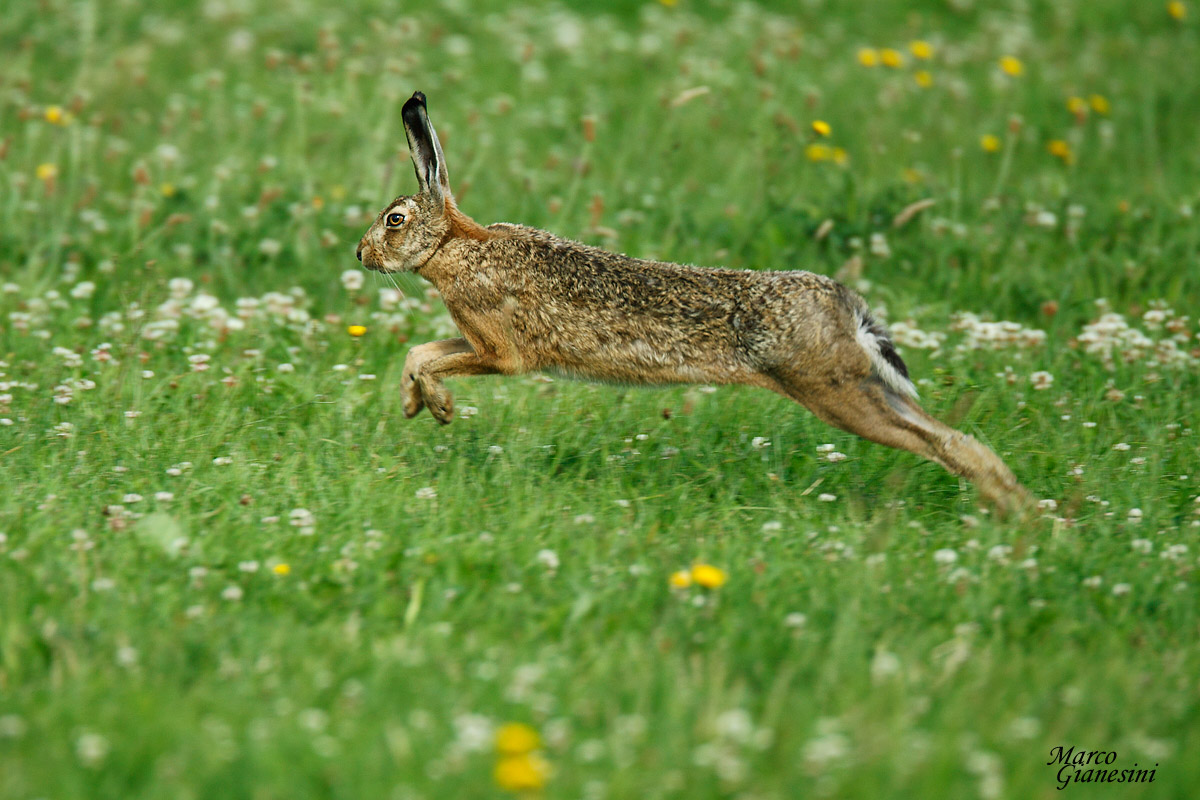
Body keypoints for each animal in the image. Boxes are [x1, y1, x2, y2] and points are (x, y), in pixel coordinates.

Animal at [357, 91, 1032, 515]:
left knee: (943, 443)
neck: (454, 245)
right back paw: (1026, 514)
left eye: (394, 220)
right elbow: (421, 351)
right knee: (955, 438)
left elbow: (435, 357)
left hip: (830, 389)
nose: (362, 254)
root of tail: (844, 304)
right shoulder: (475, 340)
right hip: (857, 383)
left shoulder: (499, 350)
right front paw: (418, 405)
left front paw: (436, 405)